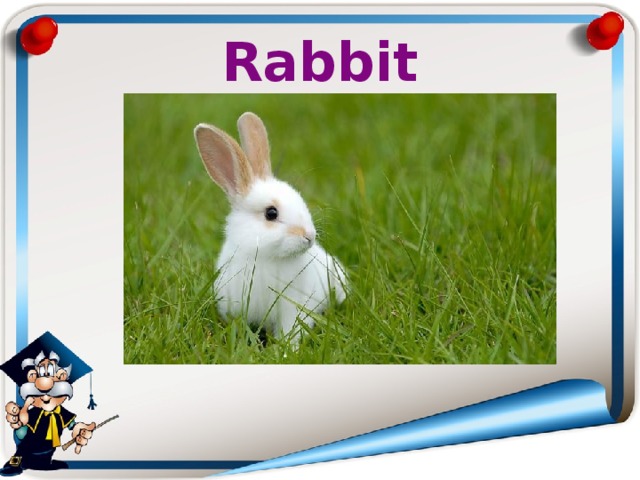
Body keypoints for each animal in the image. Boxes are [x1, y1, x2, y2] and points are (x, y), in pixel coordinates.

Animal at [194, 112, 347, 344]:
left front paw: (287, 349)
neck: (266, 257)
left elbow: (291, 330)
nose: (309, 236)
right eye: (271, 213)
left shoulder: (292, 308)